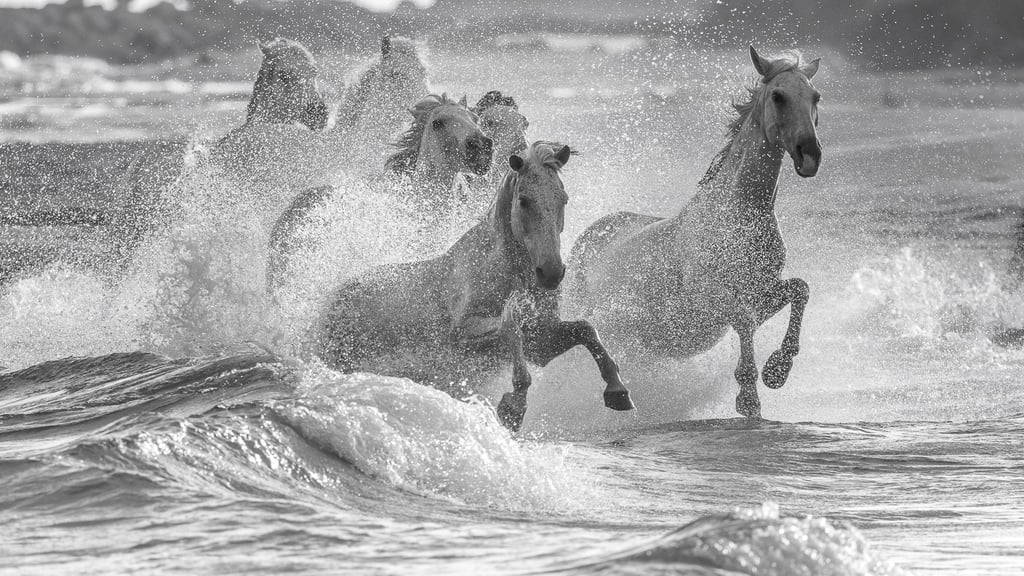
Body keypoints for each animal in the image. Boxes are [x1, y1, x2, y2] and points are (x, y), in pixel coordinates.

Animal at [315, 141, 634, 431]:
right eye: (524, 200)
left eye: (563, 199)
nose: (551, 273)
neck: (507, 274)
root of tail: (332, 299)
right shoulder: (462, 334)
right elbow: (509, 328)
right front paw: (514, 406)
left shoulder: (541, 342)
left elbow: (587, 330)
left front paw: (617, 390)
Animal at [567, 46, 822, 419]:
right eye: (778, 96)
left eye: (815, 96)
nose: (810, 154)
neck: (739, 217)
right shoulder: (712, 301)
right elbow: (744, 320)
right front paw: (749, 396)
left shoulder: (762, 293)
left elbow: (800, 290)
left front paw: (777, 370)